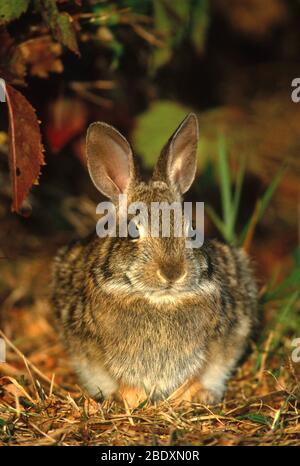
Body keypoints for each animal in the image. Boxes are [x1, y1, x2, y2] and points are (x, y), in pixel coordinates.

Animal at [50, 114, 256, 408]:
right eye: (132, 231)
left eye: (190, 229)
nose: (172, 272)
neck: (160, 301)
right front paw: (129, 399)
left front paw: (190, 396)